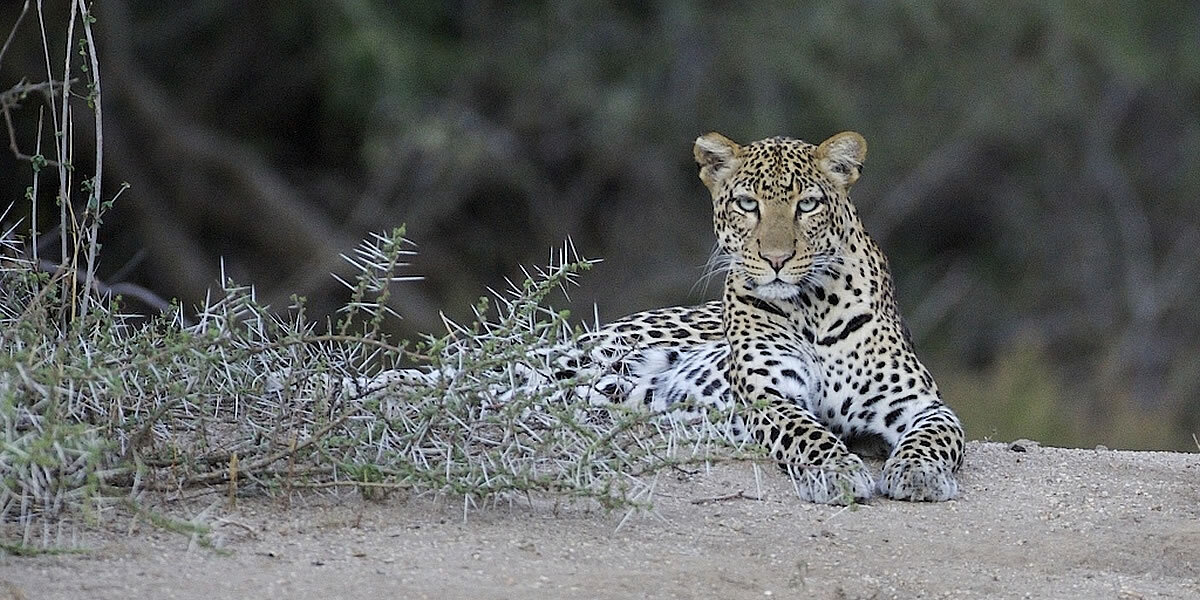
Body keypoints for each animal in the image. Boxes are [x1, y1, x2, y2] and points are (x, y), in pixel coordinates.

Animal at [586, 131, 965, 504]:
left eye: (808, 205)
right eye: (747, 204)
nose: (776, 259)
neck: (814, 306)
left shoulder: (919, 403)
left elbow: (934, 436)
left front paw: (919, 471)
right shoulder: (770, 396)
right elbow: (806, 433)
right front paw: (835, 471)